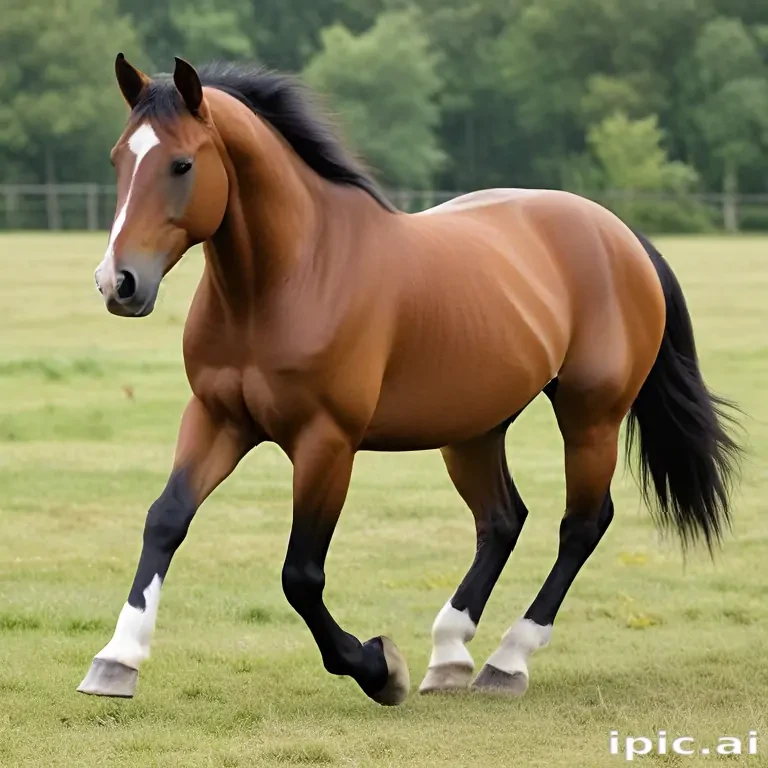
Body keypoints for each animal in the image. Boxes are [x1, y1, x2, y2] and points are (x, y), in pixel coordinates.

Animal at [81, 54, 741, 706]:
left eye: (182, 164)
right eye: (117, 159)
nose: (118, 283)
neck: (291, 277)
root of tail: (620, 236)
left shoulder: (326, 442)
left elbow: (301, 575)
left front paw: (377, 668)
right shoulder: (218, 419)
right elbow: (166, 520)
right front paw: (116, 660)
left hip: (589, 419)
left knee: (580, 526)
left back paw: (508, 660)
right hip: (473, 430)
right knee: (502, 520)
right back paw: (449, 653)